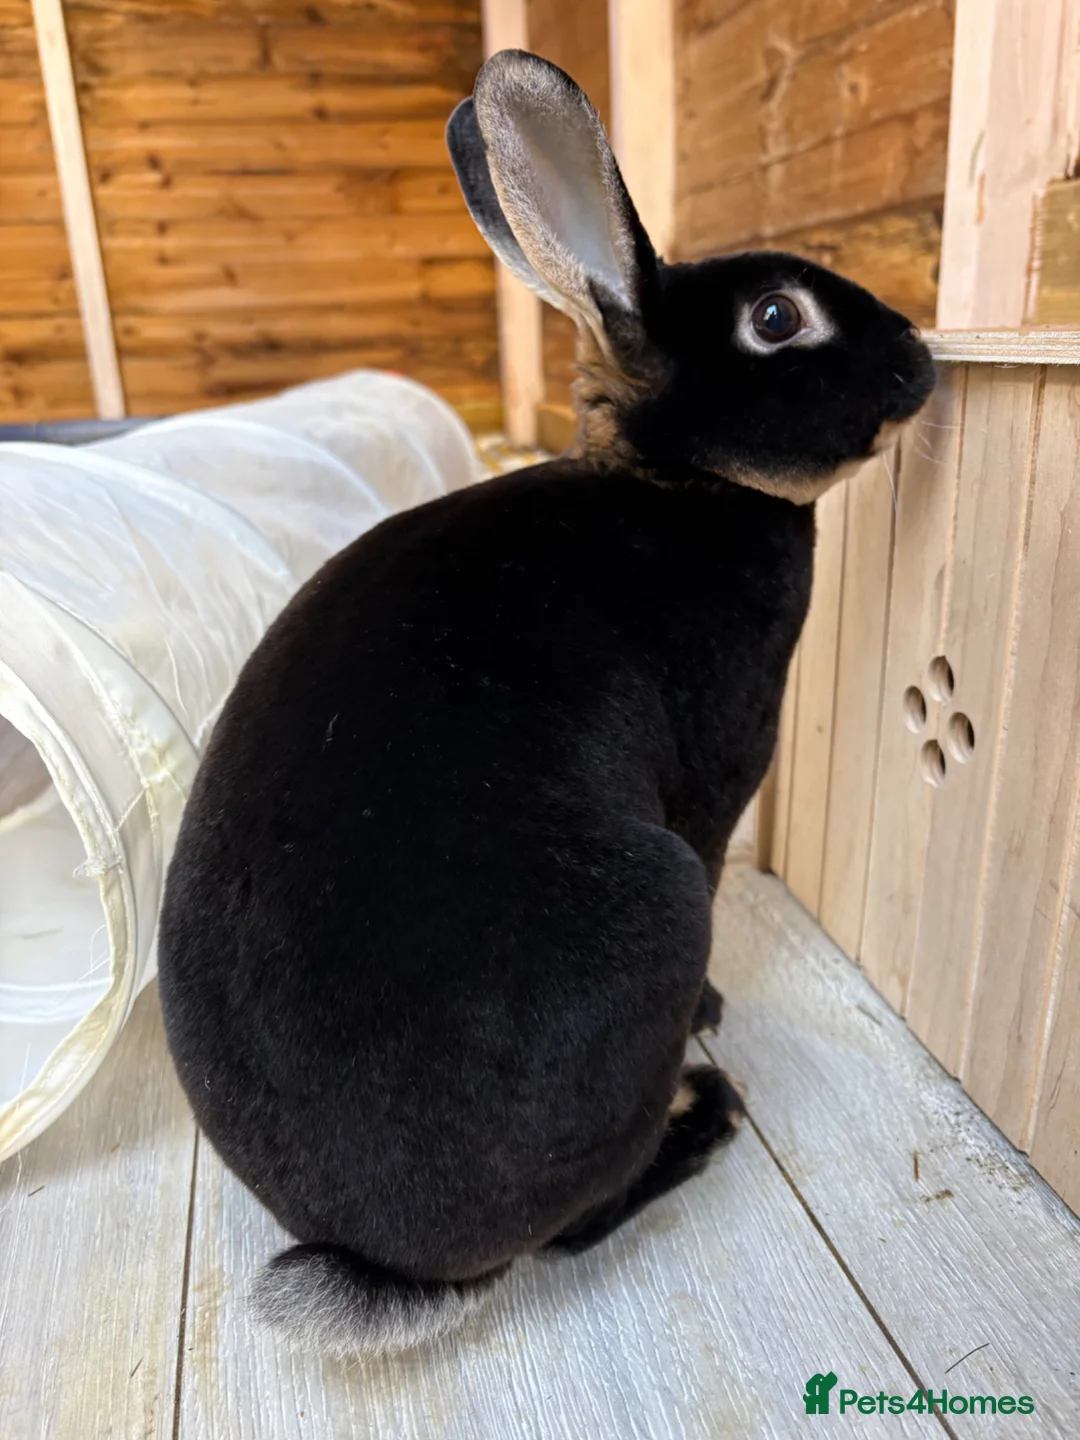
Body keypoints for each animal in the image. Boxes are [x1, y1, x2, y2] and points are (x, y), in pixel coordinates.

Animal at [157, 48, 934, 1360]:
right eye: (779, 319)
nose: (922, 358)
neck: (684, 481)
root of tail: (390, 1263)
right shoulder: (717, 785)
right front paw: (719, 1014)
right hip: (657, 908)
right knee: (580, 1225)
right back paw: (707, 1111)